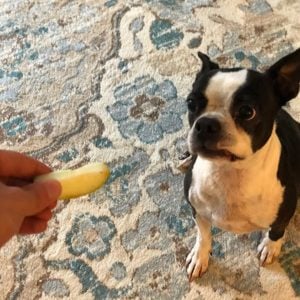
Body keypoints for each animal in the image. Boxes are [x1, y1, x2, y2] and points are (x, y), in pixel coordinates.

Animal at [183, 48, 300, 282]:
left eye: (247, 111)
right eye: (191, 103)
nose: (206, 124)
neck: (229, 173)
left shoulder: (284, 212)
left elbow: (277, 231)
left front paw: (269, 248)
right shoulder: (196, 209)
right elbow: (203, 235)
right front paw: (199, 257)